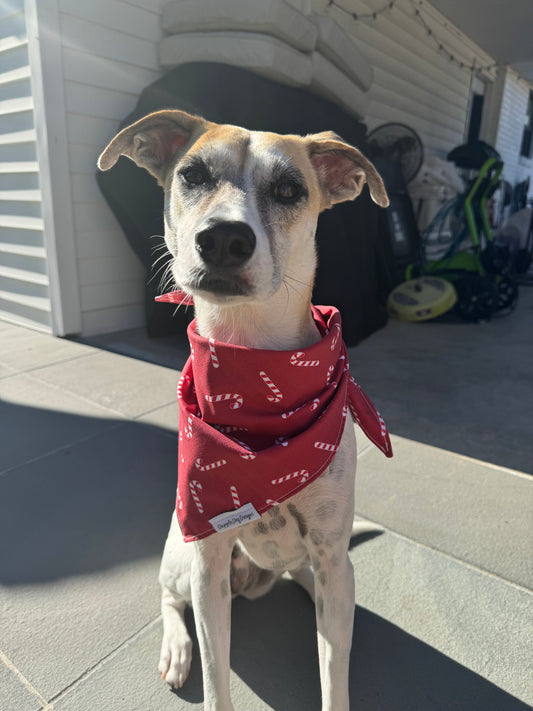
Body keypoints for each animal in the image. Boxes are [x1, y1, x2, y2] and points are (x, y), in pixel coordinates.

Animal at [98, 108, 386, 708]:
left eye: (289, 189)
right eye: (192, 175)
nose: (224, 238)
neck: (255, 373)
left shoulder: (330, 553)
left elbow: (334, 672)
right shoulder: (208, 564)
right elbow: (216, 676)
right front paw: (200, 667)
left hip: (323, 567)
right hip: (182, 559)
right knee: (168, 598)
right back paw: (176, 648)